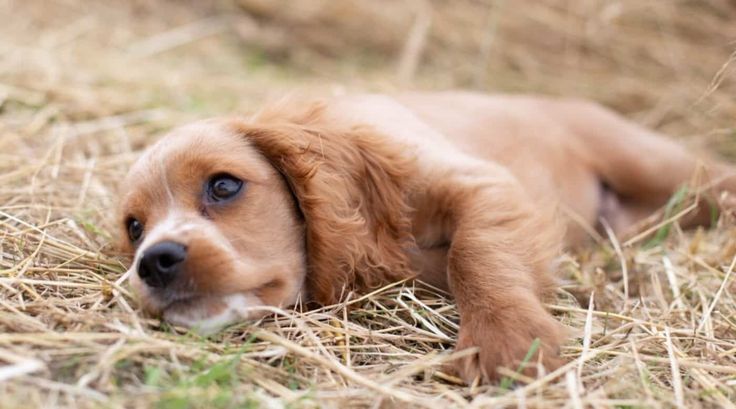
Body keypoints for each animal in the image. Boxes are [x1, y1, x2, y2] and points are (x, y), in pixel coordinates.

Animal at [118, 91, 732, 382]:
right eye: (134, 228)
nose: (155, 261)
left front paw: (506, 340)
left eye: (224, 185)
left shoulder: (484, 184)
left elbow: (475, 252)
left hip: (653, 162)